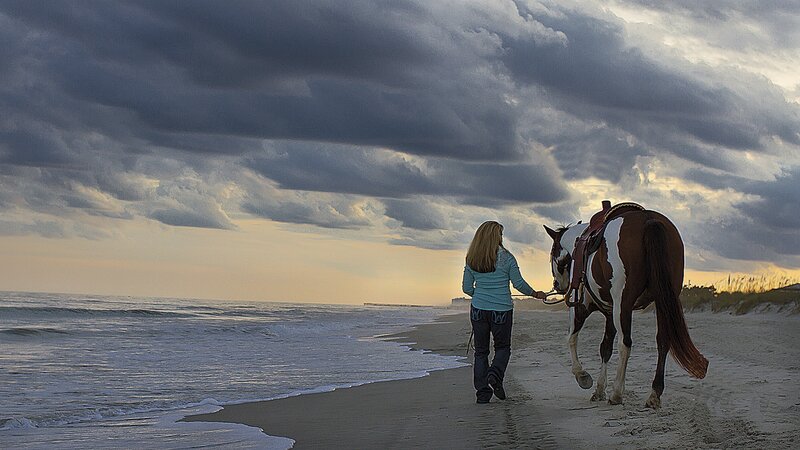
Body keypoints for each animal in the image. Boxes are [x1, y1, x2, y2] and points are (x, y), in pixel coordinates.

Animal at [543, 208, 708, 408]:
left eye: (552, 253)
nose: (558, 285)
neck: (579, 245)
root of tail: (648, 219)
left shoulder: (581, 307)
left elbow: (571, 339)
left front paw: (583, 377)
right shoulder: (610, 312)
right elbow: (605, 348)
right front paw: (599, 389)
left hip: (623, 303)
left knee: (625, 344)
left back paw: (616, 394)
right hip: (662, 301)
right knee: (663, 341)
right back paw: (654, 394)